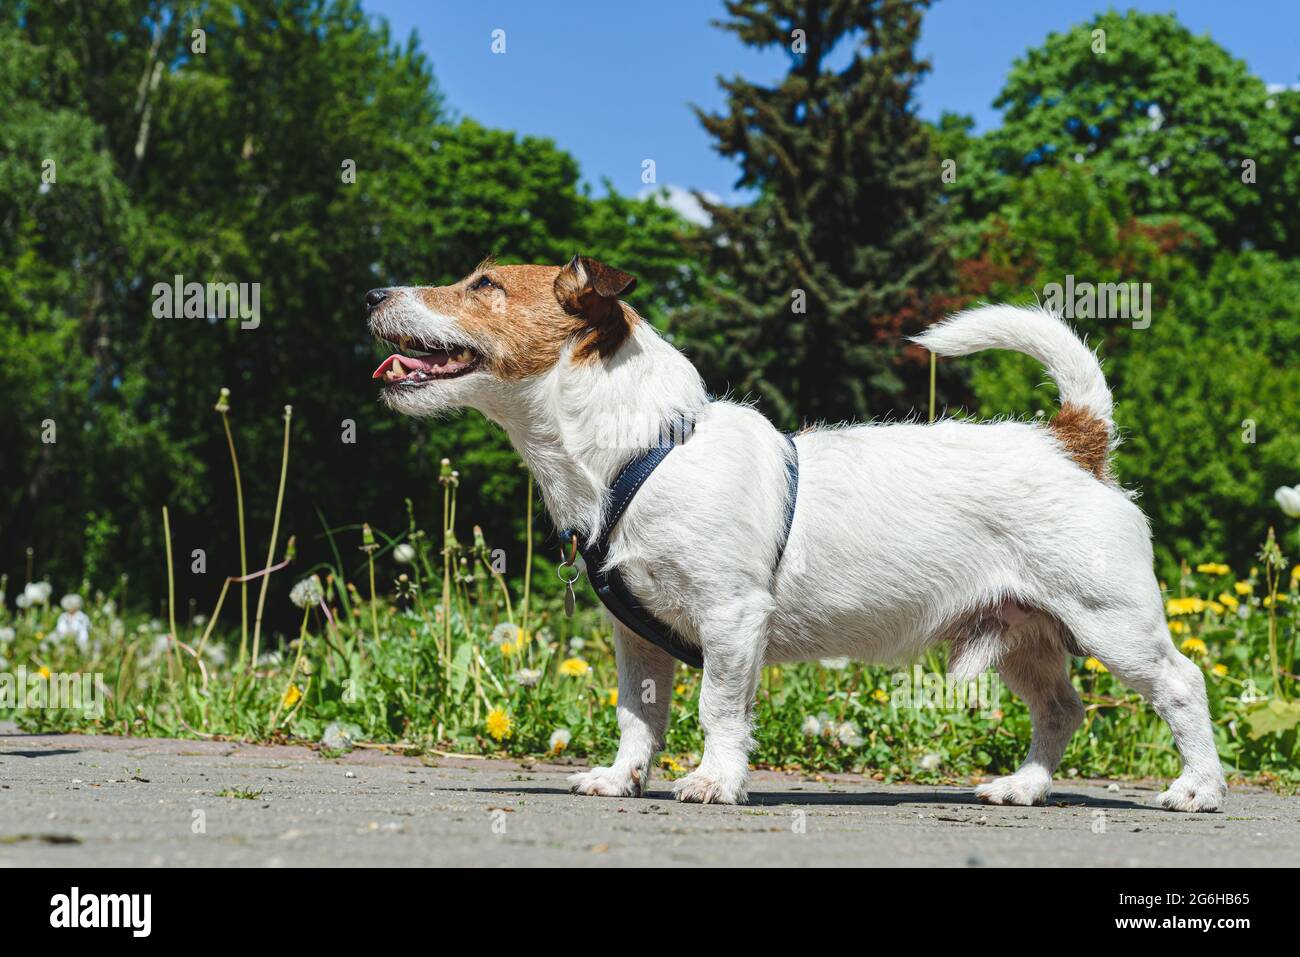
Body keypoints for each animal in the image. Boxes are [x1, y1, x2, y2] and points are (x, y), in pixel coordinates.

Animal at [369, 257, 1227, 811]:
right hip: (1023, 635)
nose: (374, 290)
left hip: (1113, 621)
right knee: (1061, 710)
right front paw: (621, 776)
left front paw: (715, 780)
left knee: (1183, 685)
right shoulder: (636, 639)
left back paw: (1197, 788)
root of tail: (1074, 441)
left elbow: (718, 708)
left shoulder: (729, 617)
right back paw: (1024, 785)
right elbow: (638, 716)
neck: (639, 450)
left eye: (484, 285)